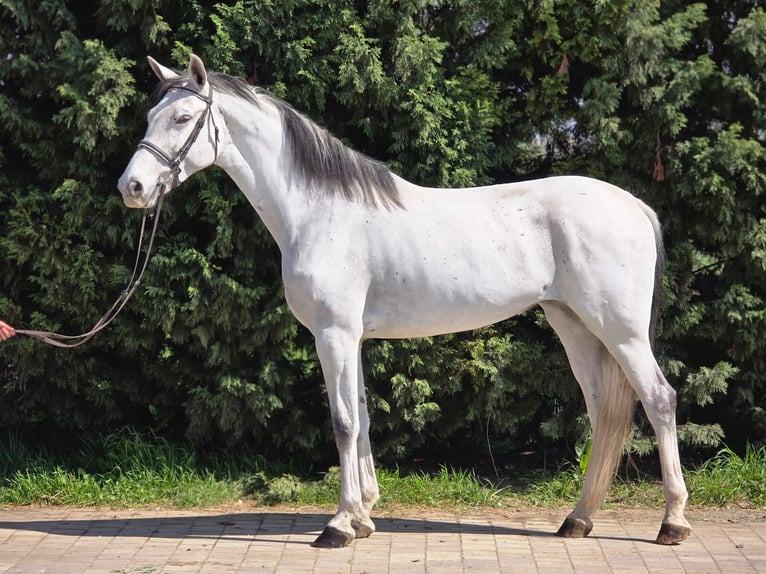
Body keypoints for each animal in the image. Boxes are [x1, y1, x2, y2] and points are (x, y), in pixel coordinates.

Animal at [118, 54, 691, 548]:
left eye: (183, 117)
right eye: (149, 116)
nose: (133, 186)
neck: (319, 210)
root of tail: (635, 206)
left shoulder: (334, 334)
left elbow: (342, 423)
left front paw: (338, 526)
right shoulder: (351, 338)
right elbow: (362, 419)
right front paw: (363, 515)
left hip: (620, 331)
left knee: (659, 400)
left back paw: (672, 522)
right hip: (574, 326)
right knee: (604, 413)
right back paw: (578, 519)